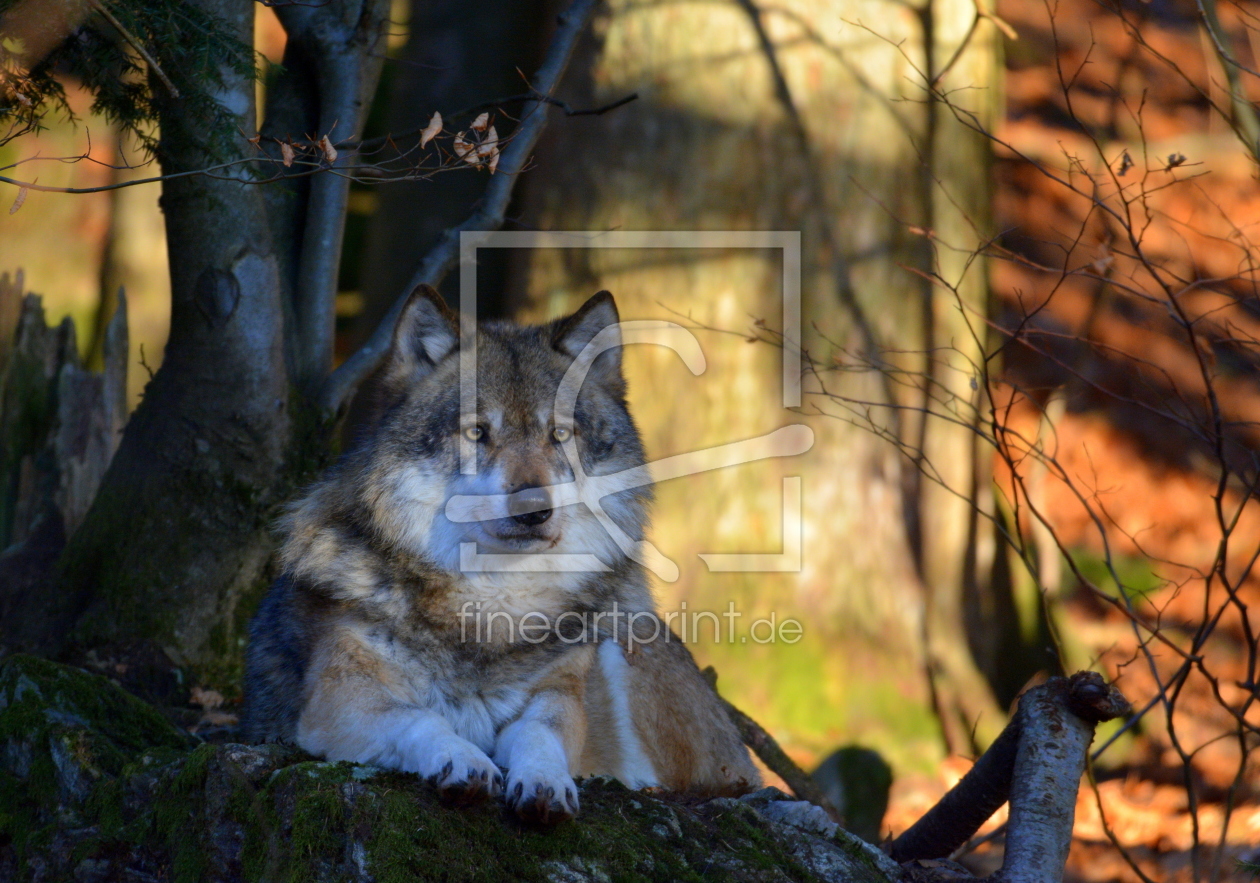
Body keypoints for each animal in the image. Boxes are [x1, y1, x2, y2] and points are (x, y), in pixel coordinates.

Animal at [244, 287, 756, 821]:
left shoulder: (559, 694)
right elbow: (419, 719)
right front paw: (463, 759)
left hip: (621, 642)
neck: (493, 604)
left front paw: (546, 780)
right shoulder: (338, 699)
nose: (533, 510)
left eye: (559, 434)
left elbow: (538, 734)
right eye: (476, 432)